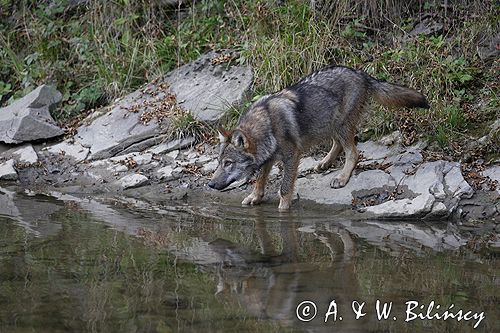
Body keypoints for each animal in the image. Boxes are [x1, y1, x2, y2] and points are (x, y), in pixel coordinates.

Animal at [207, 65, 430, 210]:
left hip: (340, 125)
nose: (210, 185)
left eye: (228, 163)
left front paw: (283, 210)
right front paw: (254, 197)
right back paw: (324, 163)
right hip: (327, 125)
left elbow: (284, 188)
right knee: (338, 144)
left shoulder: (292, 156)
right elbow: (259, 180)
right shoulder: (268, 159)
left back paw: (342, 178)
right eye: (218, 163)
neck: (267, 124)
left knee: (353, 152)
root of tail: (360, 73)